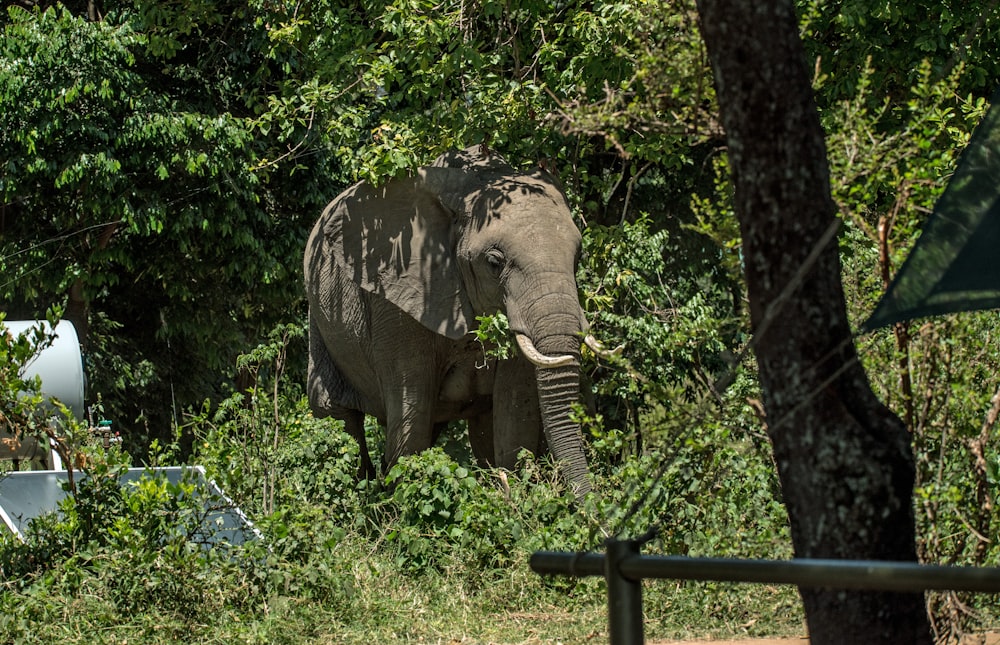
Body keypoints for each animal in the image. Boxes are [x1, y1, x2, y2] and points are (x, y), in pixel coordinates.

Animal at [302, 147, 600, 498]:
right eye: (494, 262)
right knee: (338, 418)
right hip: (320, 319)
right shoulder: (396, 300)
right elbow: (412, 409)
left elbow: (515, 408)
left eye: (578, 257)